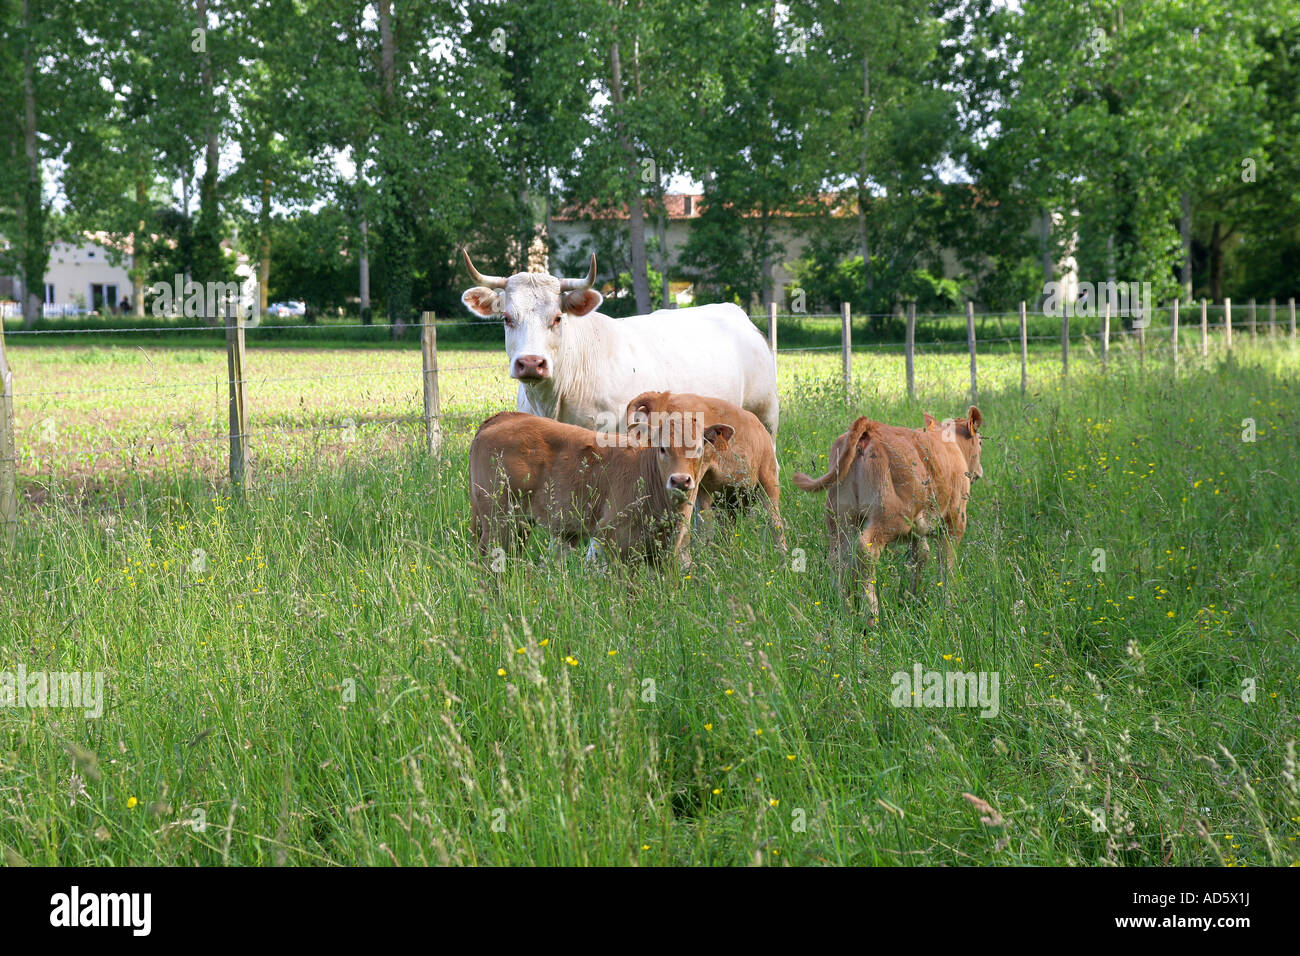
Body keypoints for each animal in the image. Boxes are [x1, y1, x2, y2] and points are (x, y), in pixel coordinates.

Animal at [469, 410, 735, 567]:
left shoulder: (668, 550)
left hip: (519, 522)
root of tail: (506, 417)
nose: (680, 480)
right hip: (497, 519)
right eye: (661, 448)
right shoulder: (618, 540)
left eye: (699, 448)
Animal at [792, 407, 985, 621]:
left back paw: (845, 609)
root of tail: (871, 429)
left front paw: (913, 597)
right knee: (866, 550)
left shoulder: (917, 530)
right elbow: (946, 564)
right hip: (890, 518)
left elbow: (920, 557)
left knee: (839, 558)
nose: (979, 472)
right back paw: (871, 614)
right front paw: (948, 605)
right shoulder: (954, 521)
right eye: (980, 442)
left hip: (840, 519)